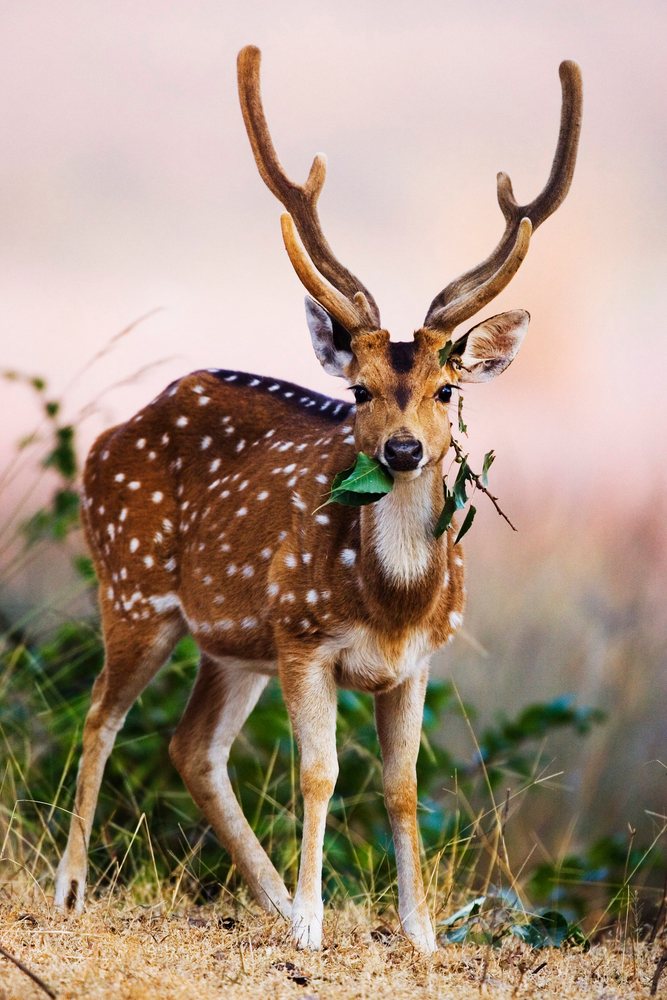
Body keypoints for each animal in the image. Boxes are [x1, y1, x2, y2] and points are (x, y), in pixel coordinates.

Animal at [54, 45, 582, 952]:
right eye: (359, 389)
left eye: (446, 389)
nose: (401, 450)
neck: (392, 604)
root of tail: (109, 437)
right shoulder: (303, 637)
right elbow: (319, 771)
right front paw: (310, 923)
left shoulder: (418, 660)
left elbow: (402, 786)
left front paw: (418, 931)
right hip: (133, 587)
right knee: (100, 717)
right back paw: (73, 887)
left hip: (232, 641)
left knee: (191, 747)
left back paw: (263, 896)